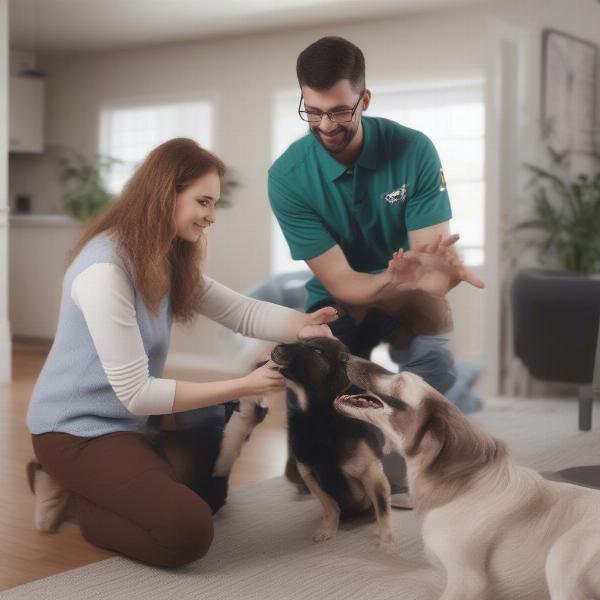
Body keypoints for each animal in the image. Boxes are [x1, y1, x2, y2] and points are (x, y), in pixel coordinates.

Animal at [272, 338, 394, 548]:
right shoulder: (309, 473)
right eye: (303, 341)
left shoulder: (372, 473)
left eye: (316, 350)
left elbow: (383, 510)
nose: (275, 347)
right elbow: (330, 505)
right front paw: (328, 529)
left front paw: (386, 542)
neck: (319, 416)